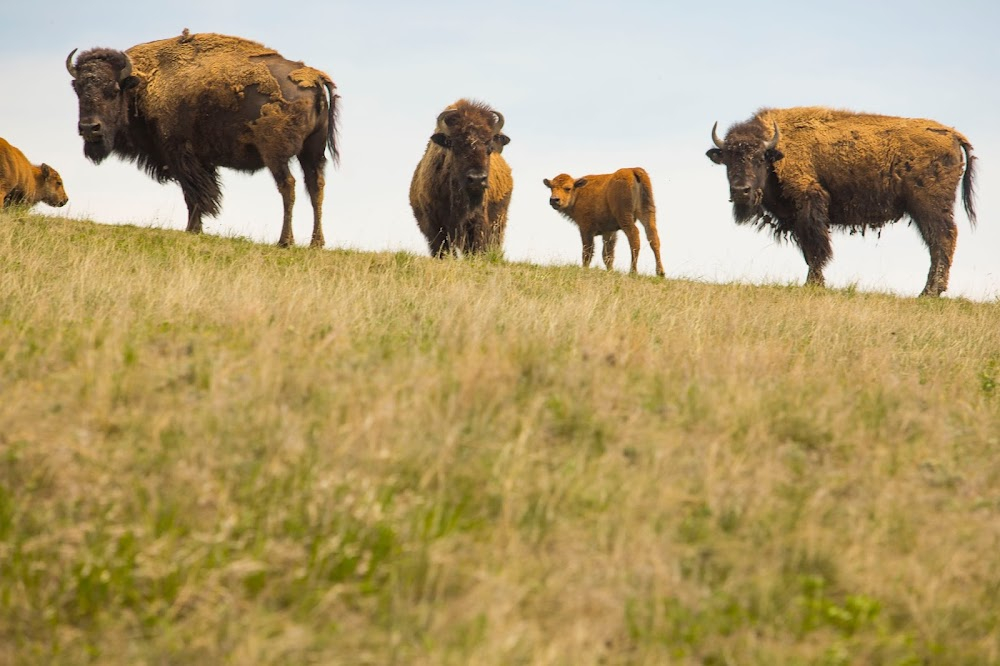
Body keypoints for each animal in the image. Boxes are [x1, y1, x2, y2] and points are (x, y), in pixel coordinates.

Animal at [67, 29, 340, 246]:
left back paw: (285, 241)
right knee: (315, 187)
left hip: (277, 154)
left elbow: (195, 195)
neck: (140, 84)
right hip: (312, 153)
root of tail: (315, 79)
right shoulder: (201, 160)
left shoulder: (181, 155)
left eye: (113, 90)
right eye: (78, 89)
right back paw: (316, 243)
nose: (90, 128)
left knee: (288, 186)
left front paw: (192, 229)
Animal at [708, 106, 980, 296]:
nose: (741, 190)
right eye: (729, 160)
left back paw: (929, 292)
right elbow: (808, 250)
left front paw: (813, 284)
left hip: (929, 207)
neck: (779, 149)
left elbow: (816, 249)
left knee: (942, 239)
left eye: (759, 158)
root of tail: (953, 135)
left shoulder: (809, 207)